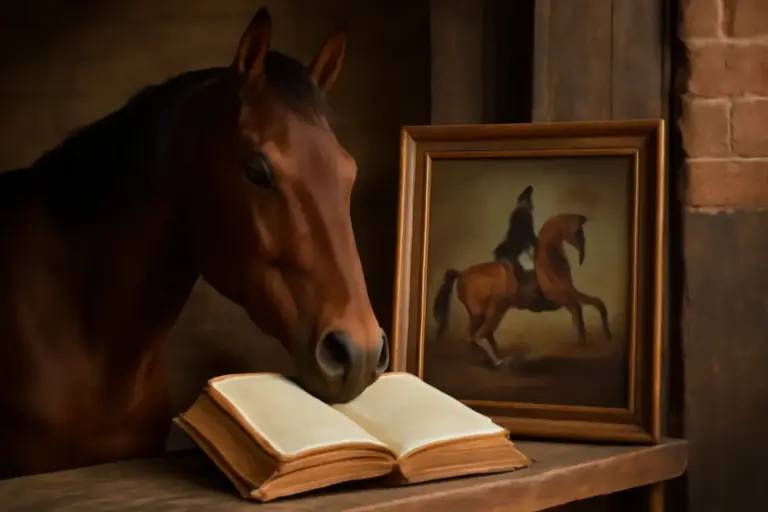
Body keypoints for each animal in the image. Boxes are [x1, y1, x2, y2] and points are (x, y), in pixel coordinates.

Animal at [432, 213, 611, 368]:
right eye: (578, 231)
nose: (582, 256)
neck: (550, 262)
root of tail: (462, 273)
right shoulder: (563, 296)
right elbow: (587, 305)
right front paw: (594, 336)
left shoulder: (566, 297)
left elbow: (588, 306)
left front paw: (591, 337)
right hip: (493, 311)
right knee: (479, 335)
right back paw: (500, 362)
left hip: (484, 313)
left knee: (477, 336)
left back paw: (496, 356)